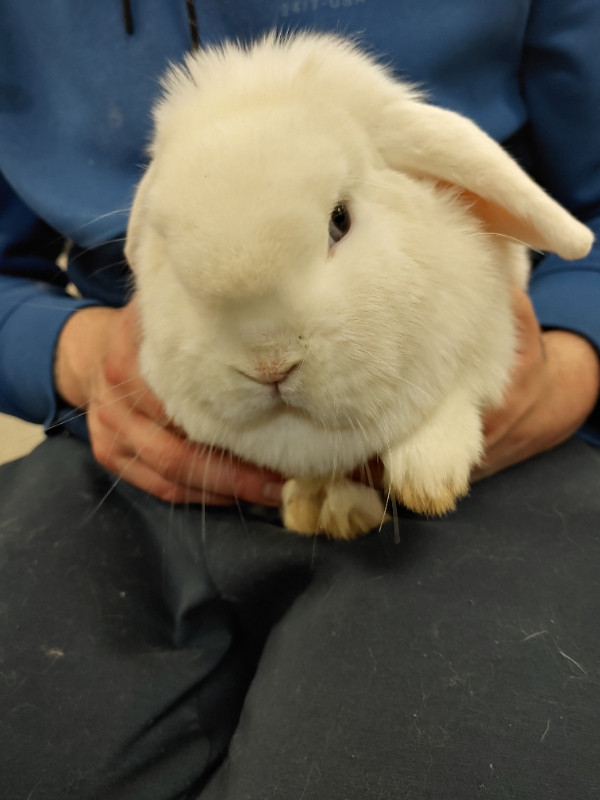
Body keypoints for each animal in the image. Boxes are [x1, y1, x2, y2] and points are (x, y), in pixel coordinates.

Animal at [124, 34, 592, 540]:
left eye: (340, 220)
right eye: (170, 254)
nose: (269, 364)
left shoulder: (491, 332)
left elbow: (460, 392)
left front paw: (429, 480)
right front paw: (318, 509)